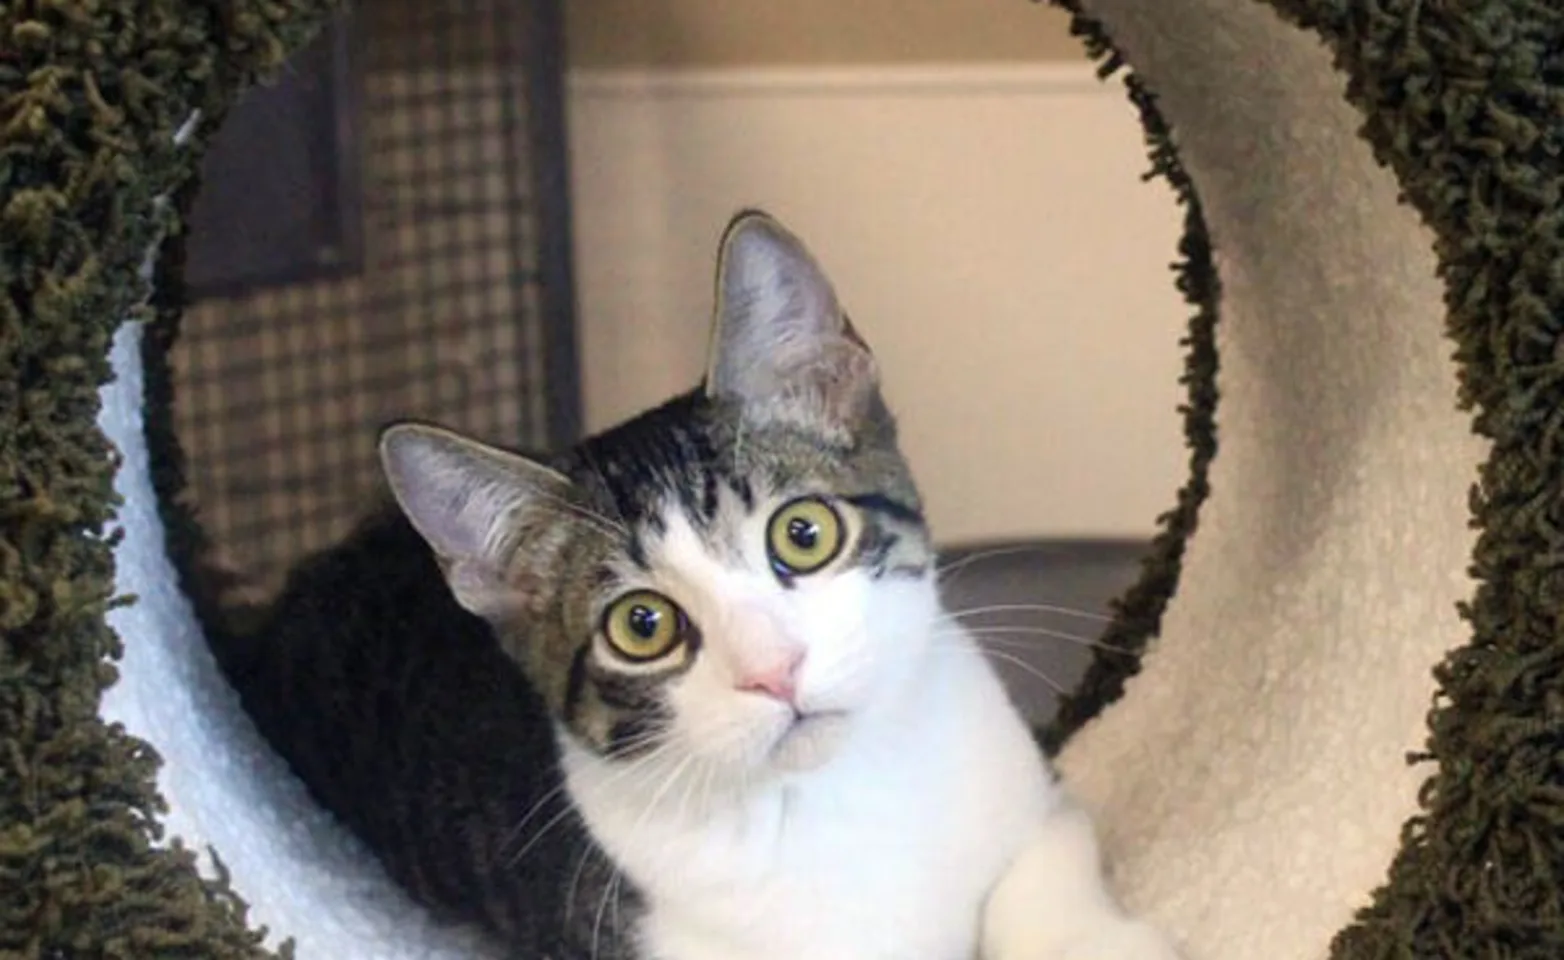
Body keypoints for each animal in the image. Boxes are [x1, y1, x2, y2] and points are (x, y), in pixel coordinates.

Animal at [214, 212, 1176, 960]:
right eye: (642, 625)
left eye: (803, 533)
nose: (775, 671)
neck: (842, 794)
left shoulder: (1026, 793)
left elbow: (1046, 856)